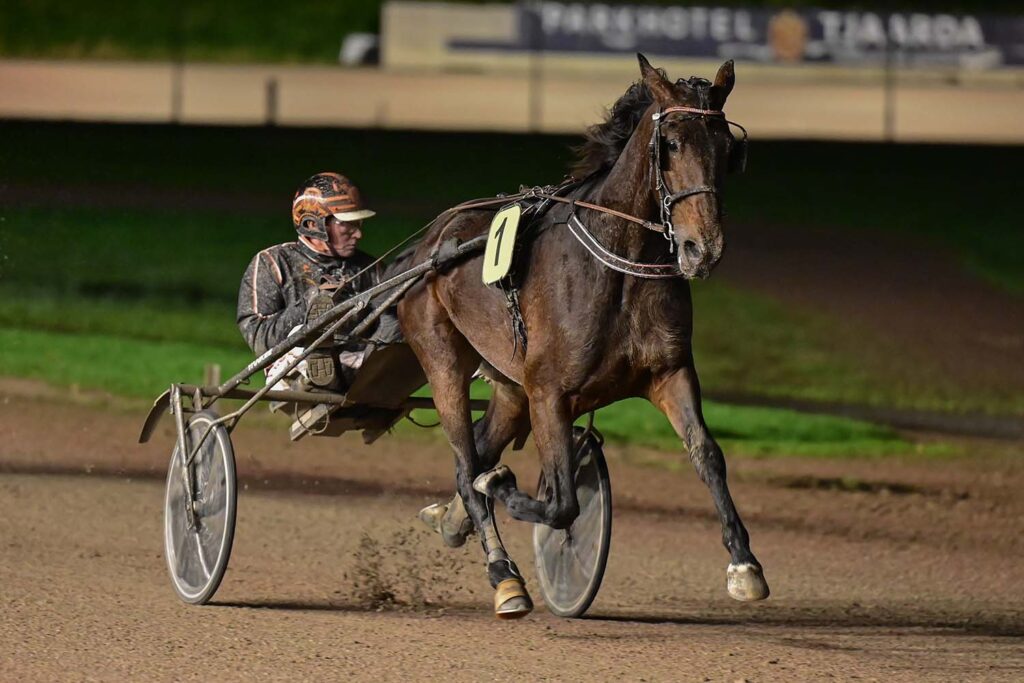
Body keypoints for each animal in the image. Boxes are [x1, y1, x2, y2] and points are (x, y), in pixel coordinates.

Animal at [397, 54, 769, 618]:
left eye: (728, 149)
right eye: (671, 144)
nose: (702, 249)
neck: (619, 264)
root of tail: (431, 241)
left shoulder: (669, 372)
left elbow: (707, 455)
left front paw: (744, 564)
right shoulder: (550, 392)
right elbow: (561, 503)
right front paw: (505, 486)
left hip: (510, 385)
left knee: (479, 447)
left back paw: (455, 519)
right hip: (441, 357)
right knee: (466, 460)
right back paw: (504, 575)